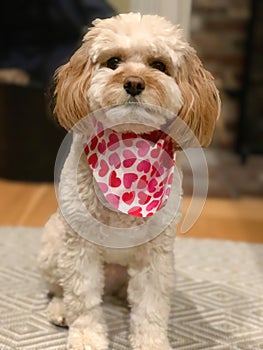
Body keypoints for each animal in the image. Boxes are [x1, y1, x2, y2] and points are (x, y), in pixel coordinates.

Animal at [38, 12, 221, 348]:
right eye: (113, 61)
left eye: (159, 65)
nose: (134, 83)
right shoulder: (80, 248)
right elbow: (82, 299)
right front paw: (86, 336)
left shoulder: (155, 255)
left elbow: (150, 307)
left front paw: (151, 341)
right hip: (53, 246)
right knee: (61, 289)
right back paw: (61, 309)